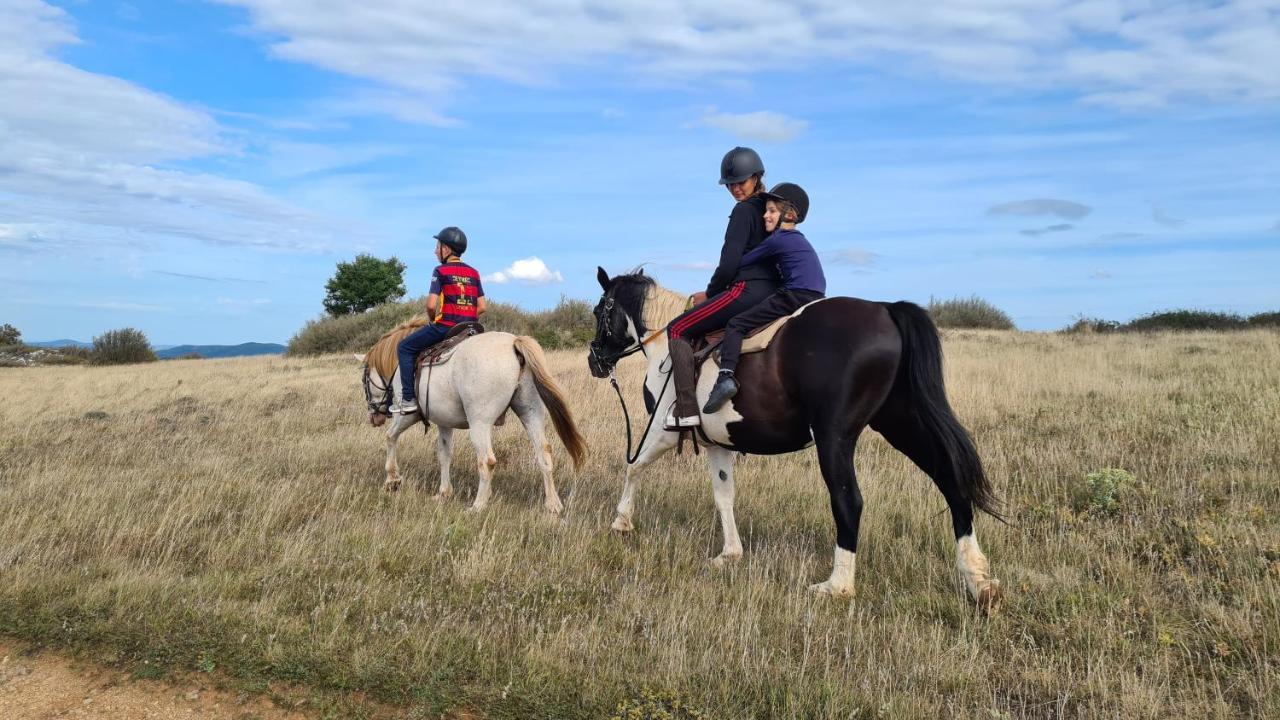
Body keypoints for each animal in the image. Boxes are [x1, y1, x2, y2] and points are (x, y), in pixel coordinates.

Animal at [363, 316, 586, 512]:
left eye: (364, 379)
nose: (374, 417)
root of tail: (513, 343)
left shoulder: (407, 415)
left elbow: (390, 437)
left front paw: (392, 480)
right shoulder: (444, 422)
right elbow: (444, 454)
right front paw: (444, 492)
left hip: (480, 423)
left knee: (487, 461)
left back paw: (478, 506)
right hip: (531, 413)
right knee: (544, 453)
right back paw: (553, 505)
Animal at [586, 266, 998, 602]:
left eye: (599, 309)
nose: (594, 360)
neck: (665, 346)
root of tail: (884, 309)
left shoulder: (664, 429)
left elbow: (634, 467)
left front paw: (621, 522)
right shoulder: (717, 442)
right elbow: (724, 496)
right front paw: (729, 554)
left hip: (835, 438)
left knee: (849, 501)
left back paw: (837, 586)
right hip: (902, 423)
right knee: (950, 479)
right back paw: (977, 579)